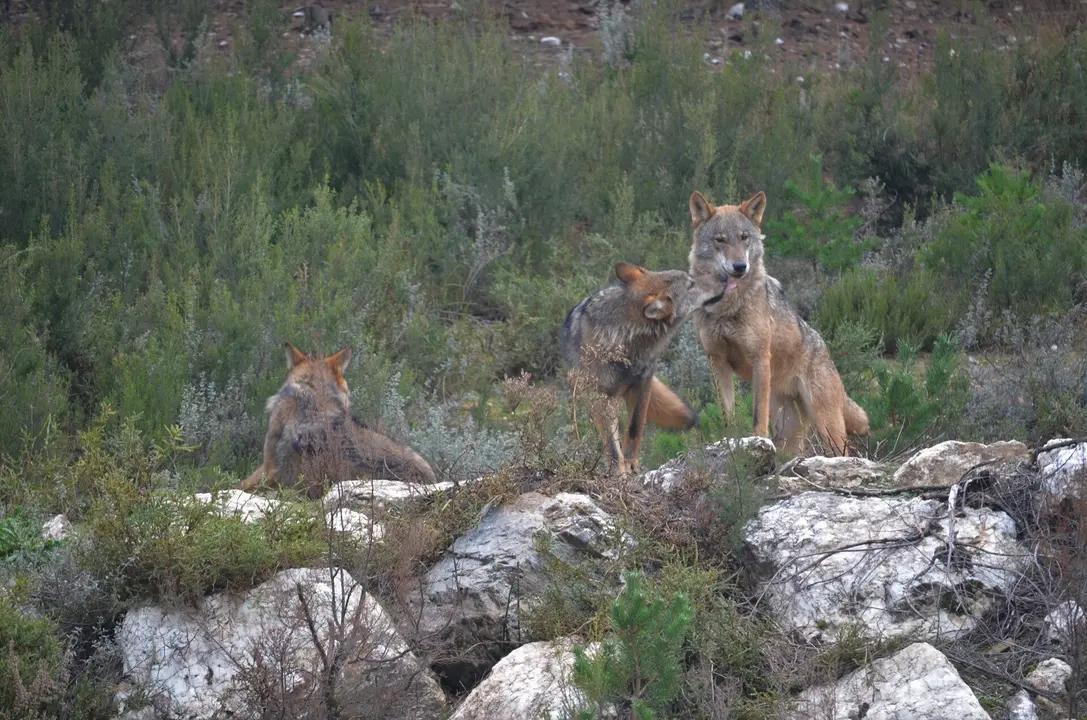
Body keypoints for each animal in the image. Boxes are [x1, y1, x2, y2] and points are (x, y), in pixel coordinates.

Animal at [561, 262, 725, 474]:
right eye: (691, 284)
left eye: (692, 278)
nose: (725, 276)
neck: (624, 340)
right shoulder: (599, 395)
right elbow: (611, 446)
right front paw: (619, 472)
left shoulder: (643, 383)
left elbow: (634, 427)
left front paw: (631, 463)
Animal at [687, 190, 870, 455]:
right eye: (720, 240)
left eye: (744, 238)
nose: (740, 266)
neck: (727, 306)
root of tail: (826, 350)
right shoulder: (717, 362)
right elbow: (728, 415)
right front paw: (729, 442)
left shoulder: (760, 359)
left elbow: (757, 414)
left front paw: (758, 441)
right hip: (789, 433)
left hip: (827, 427)